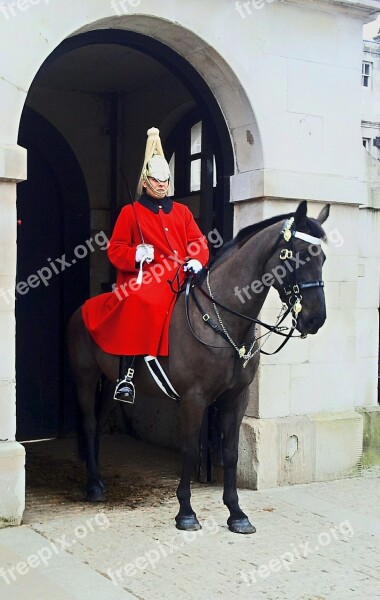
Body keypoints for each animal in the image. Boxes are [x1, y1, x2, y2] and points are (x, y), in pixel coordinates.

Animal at [68, 202, 330, 536]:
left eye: (322, 258)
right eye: (296, 256)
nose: (315, 319)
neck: (224, 321)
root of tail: (83, 308)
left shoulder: (237, 397)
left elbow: (231, 452)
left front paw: (236, 513)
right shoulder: (193, 399)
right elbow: (190, 450)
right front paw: (186, 512)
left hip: (108, 383)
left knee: (99, 422)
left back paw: (99, 477)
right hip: (85, 379)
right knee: (89, 424)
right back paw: (93, 486)